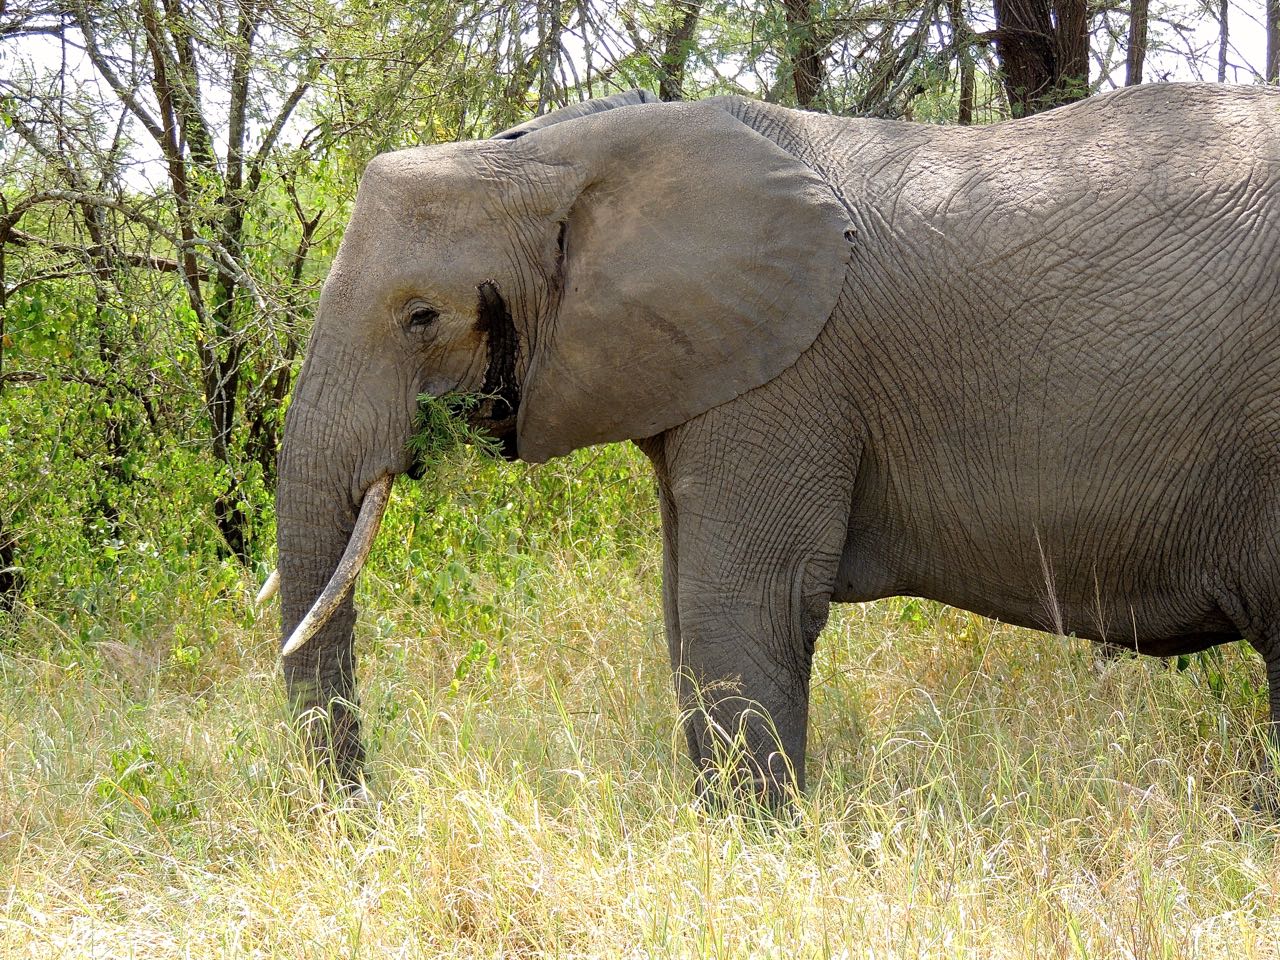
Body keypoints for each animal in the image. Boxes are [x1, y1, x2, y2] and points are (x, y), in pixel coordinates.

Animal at [275, 80, 1280, 803]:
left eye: (420, 317)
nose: (372, 812)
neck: (562, 149)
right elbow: (685, 613)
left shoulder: (790, 378)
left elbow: (737, 607)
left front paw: (752, 849)